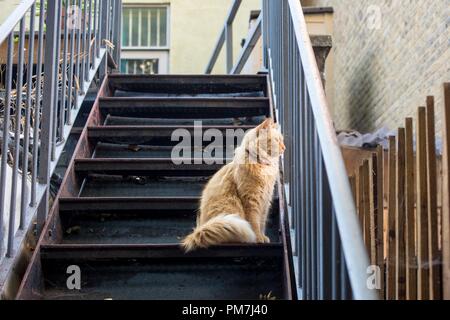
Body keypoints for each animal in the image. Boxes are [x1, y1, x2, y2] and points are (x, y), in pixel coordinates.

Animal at [182, 119, 284, 251]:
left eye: (282, 140)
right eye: (276, 140)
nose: (284, 148)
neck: (262, 165)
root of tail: (199, 231)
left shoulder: (265, 200)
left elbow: (261, 222)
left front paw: (263, 236)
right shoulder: (251, 200)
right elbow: (254, 222)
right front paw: (258, 238)